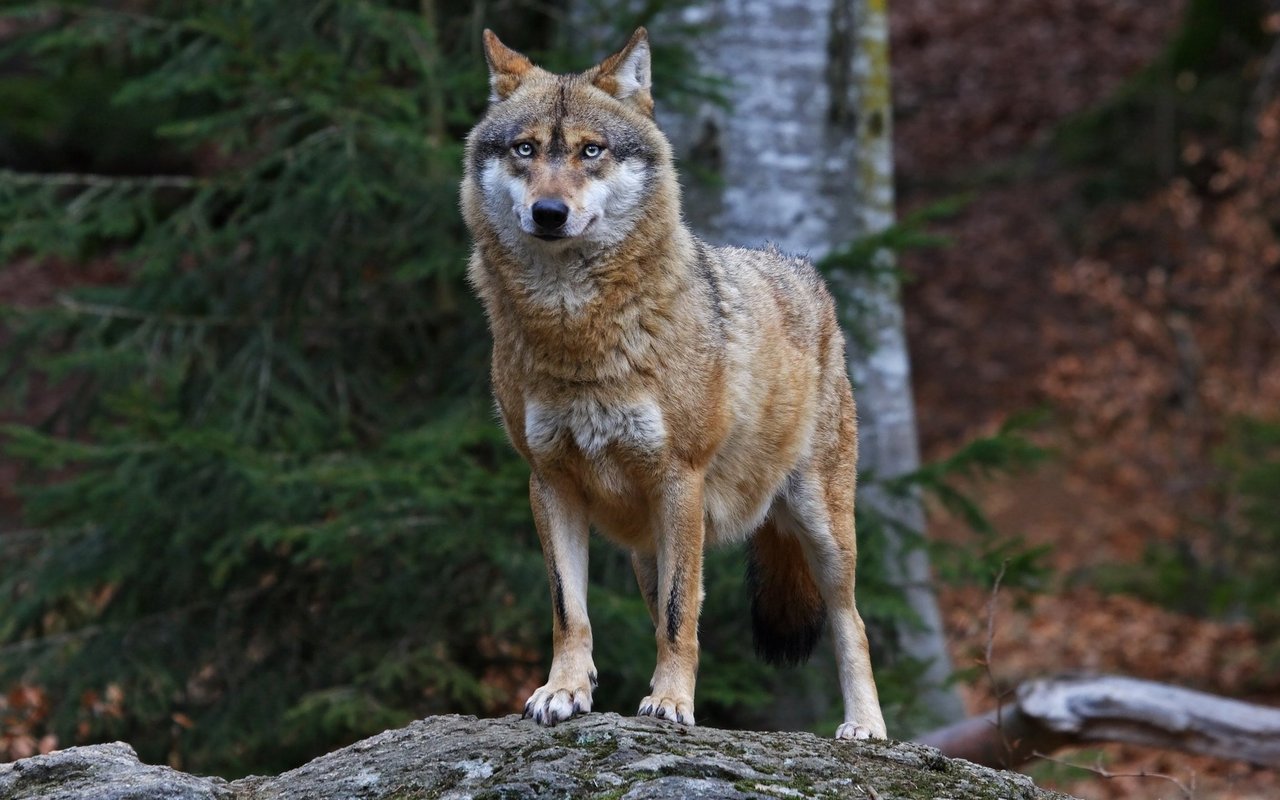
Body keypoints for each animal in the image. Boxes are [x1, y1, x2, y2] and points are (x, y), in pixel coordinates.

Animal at [463, 26, 890, 737]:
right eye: (526, 149)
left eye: (591, 151)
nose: (549, 212)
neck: (575, 331)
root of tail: (804, 269)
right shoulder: (548, 480)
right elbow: (568, 609)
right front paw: (565, 690)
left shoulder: (678, 478)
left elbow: (677, 616)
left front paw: (669, 704)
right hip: (644, 547)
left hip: (820, 527)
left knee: (850, 621)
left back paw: (865, 729)